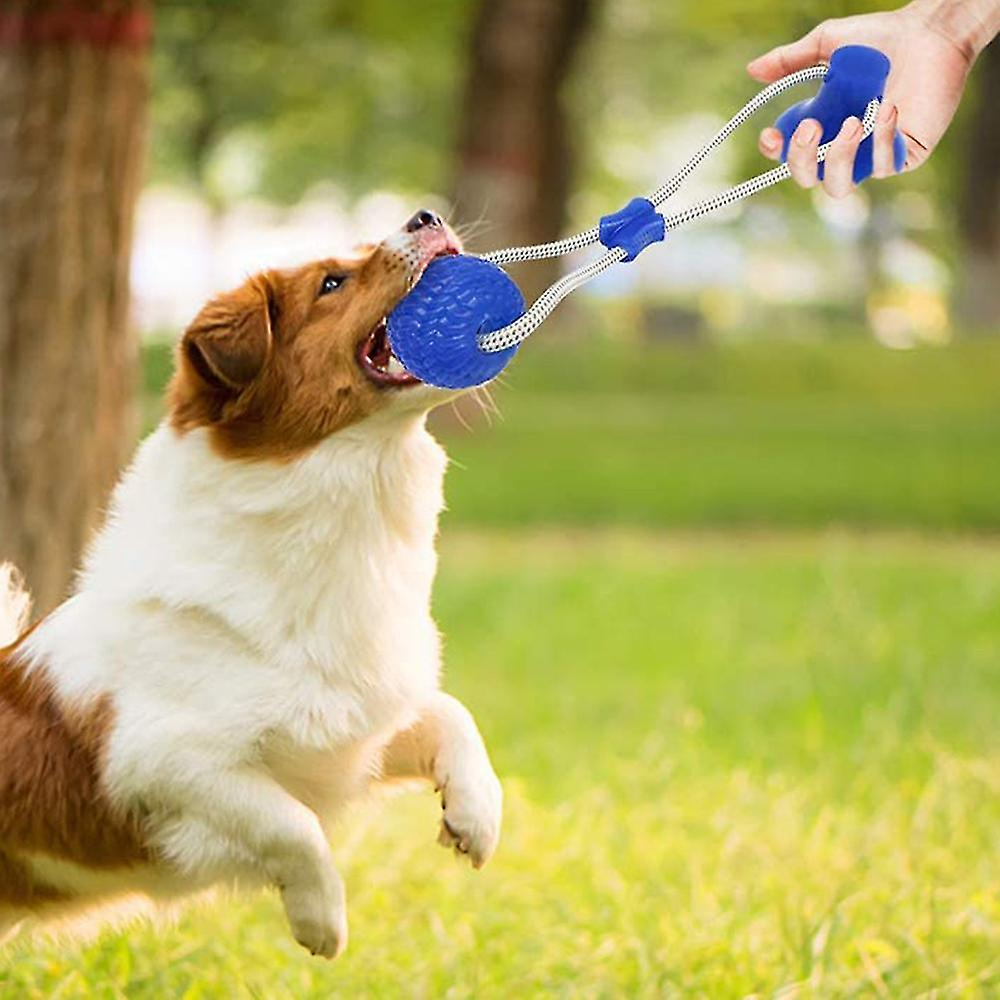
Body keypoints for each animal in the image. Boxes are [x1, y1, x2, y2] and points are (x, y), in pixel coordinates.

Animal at [0, 211, 500, 960]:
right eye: (331, 283)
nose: (426, 216)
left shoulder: (346, 731)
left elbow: (450, 713)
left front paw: (476, 815)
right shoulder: (163, 763)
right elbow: (291, 826)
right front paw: (321, 920)